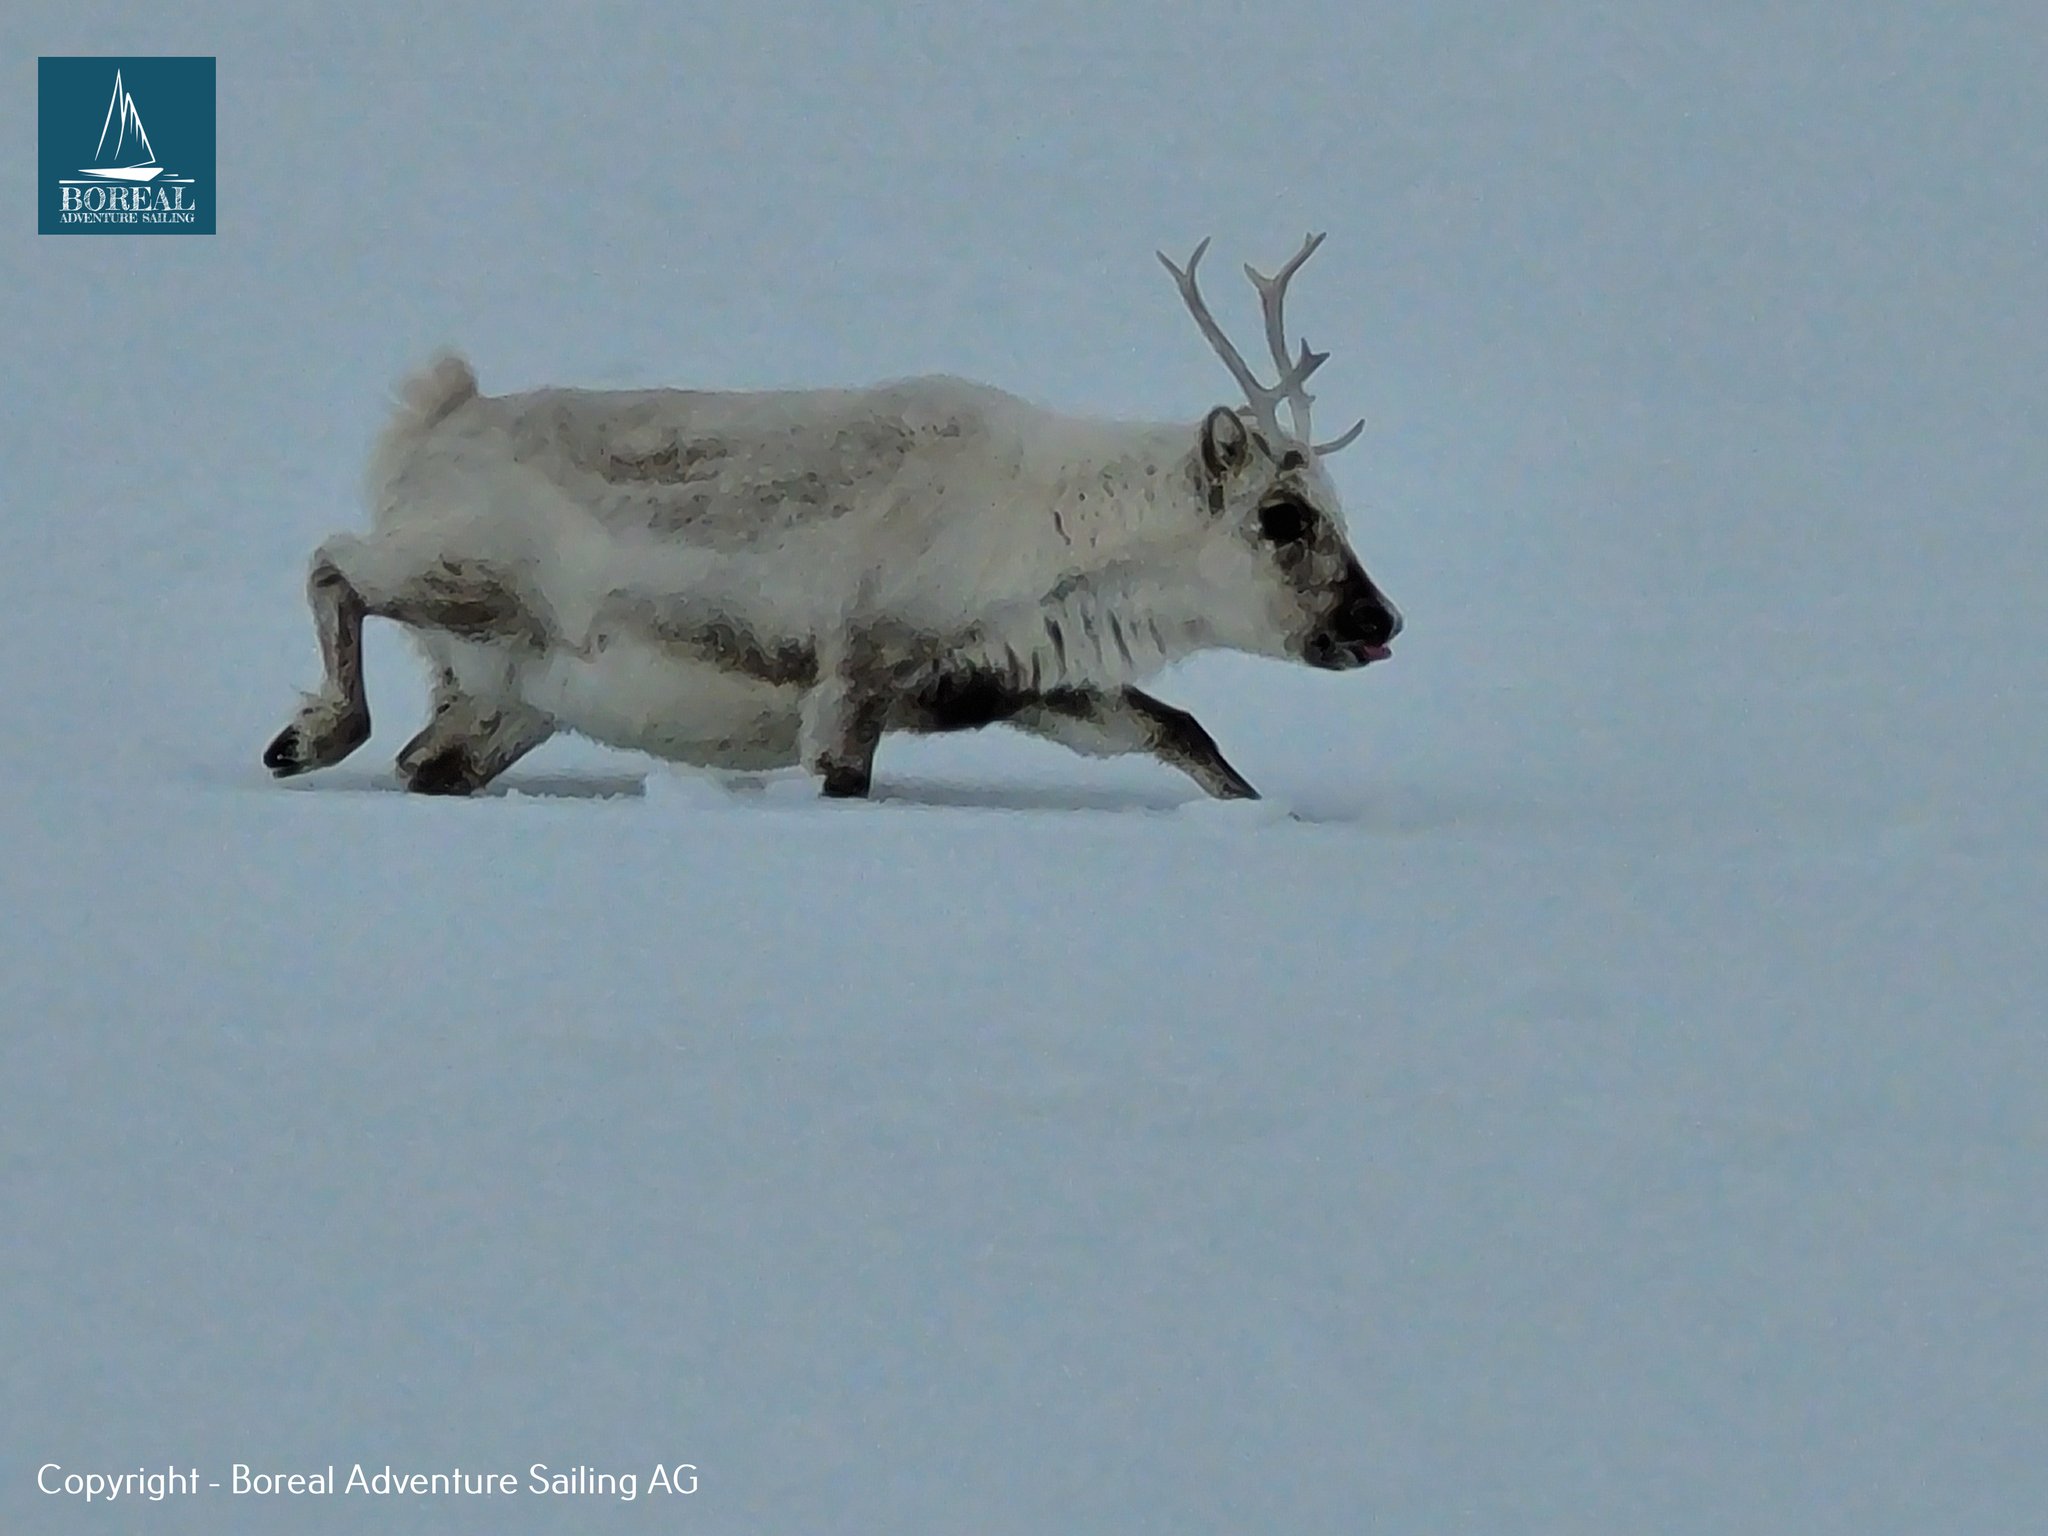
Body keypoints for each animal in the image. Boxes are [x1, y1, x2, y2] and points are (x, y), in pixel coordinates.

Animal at [263, 234, 1402, 801]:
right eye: (1283, 515)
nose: (1381, 620)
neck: (1045, 524)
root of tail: (431, 420)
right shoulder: (854, 673)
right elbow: (842, 779)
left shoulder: (1034, 685)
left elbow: (1186, 734)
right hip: (471, 572)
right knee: (333, 560)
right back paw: (307, 738)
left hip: (506, 697)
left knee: (427, 762)